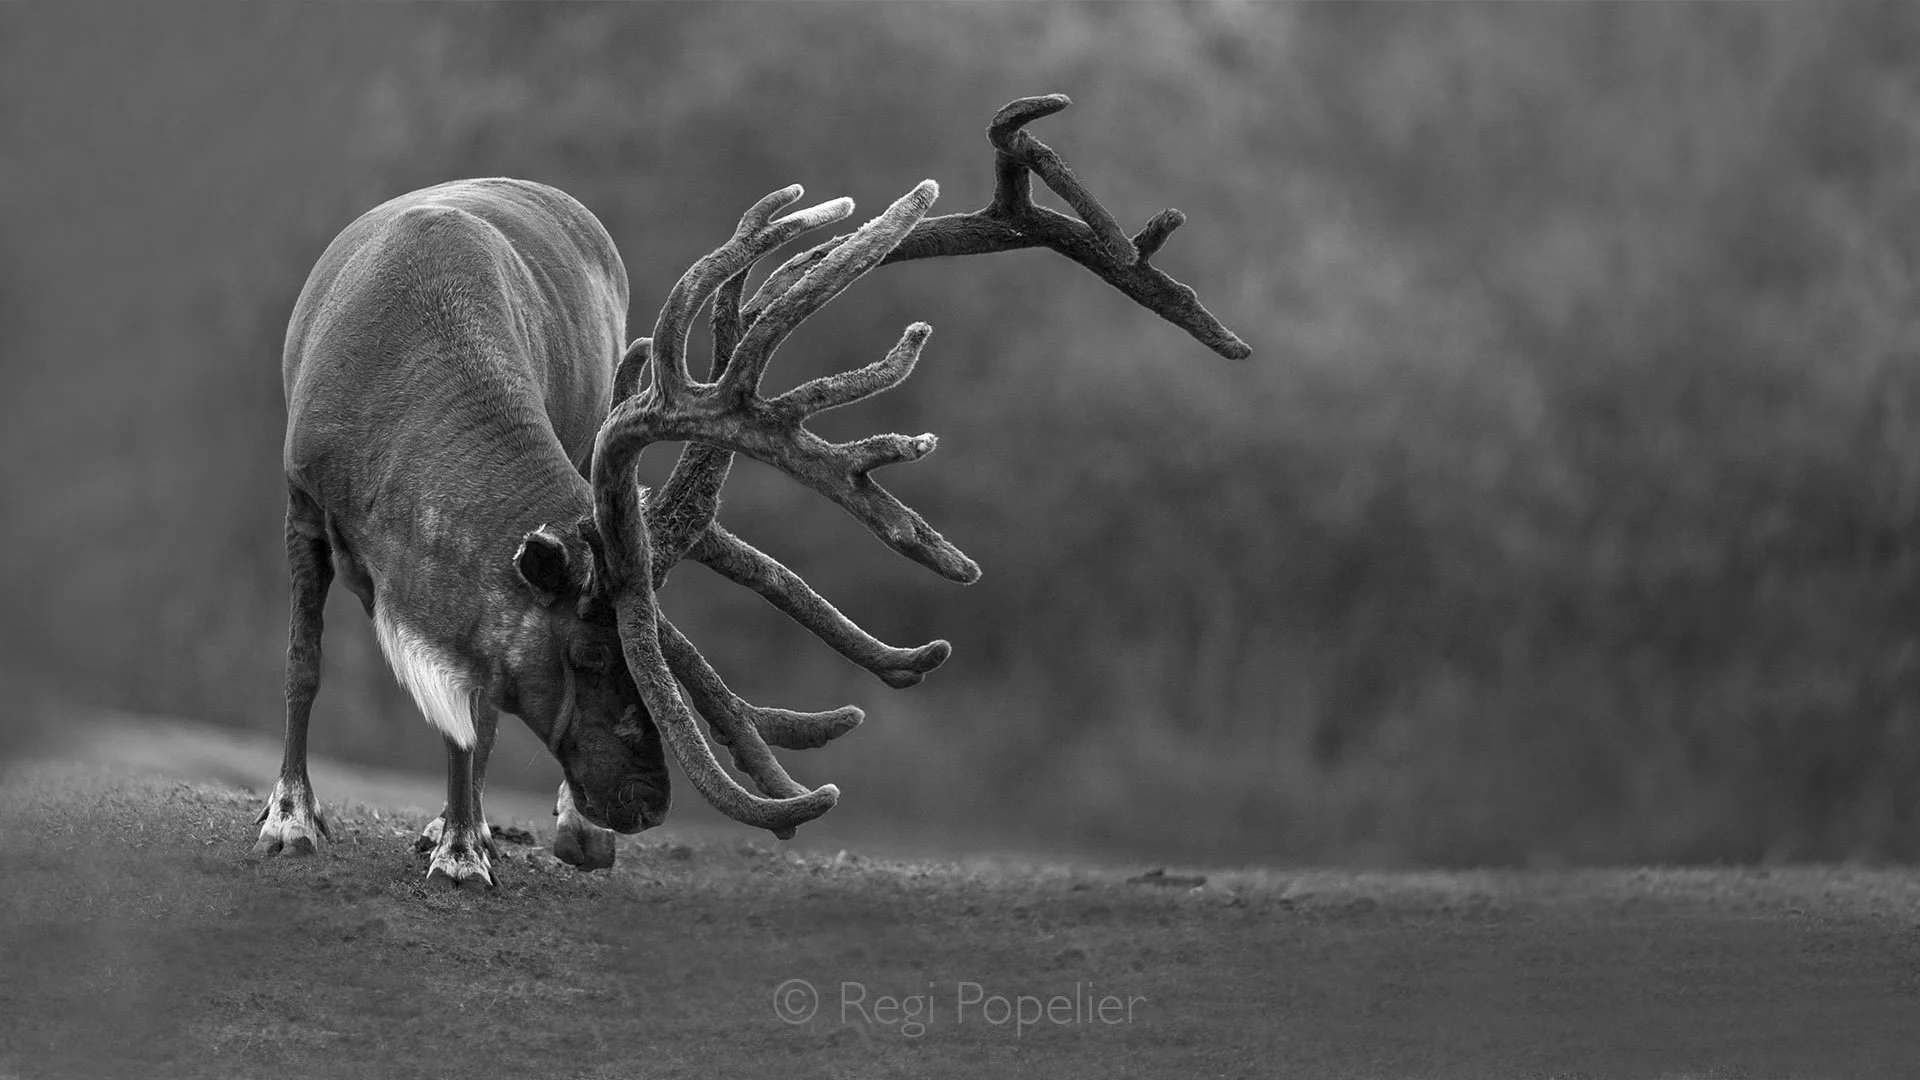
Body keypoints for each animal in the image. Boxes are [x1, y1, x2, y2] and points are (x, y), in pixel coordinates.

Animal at [258, 94, 1249, 887]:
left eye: (649, 656)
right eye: (587, 654)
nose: (645, 805)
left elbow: (473, 710)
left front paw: (465, 845)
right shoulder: (303, 501)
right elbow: (305, 665)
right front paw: (291, 818)